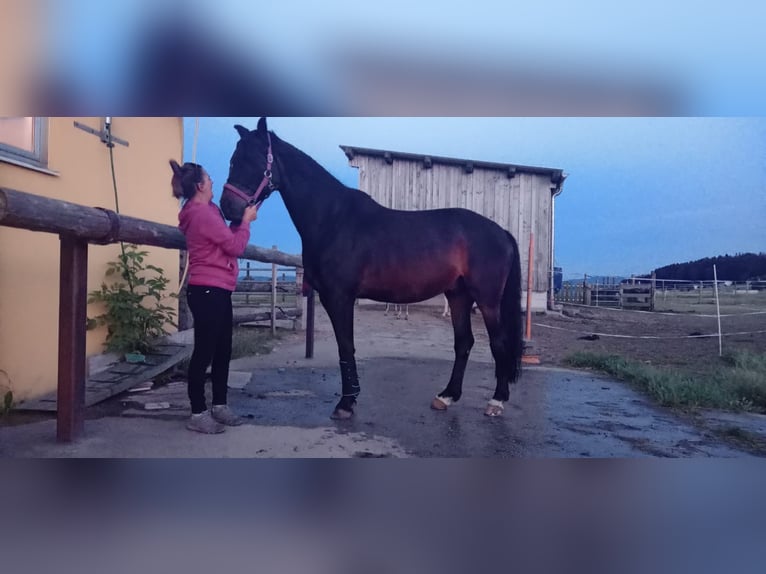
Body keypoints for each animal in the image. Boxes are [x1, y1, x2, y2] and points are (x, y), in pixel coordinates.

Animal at [222, 118, 520, 424]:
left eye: (254, 159)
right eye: (234, 160)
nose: (228, 207)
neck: (333, 219)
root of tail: (501, 232)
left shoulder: (339, 297)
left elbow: (345, 345)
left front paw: (346, 403)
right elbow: (346, 345)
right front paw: (350, 399)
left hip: (487, 300)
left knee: (498, 343)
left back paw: (496, 401)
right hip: (458, 296)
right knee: (464, 343)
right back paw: (446, 396)